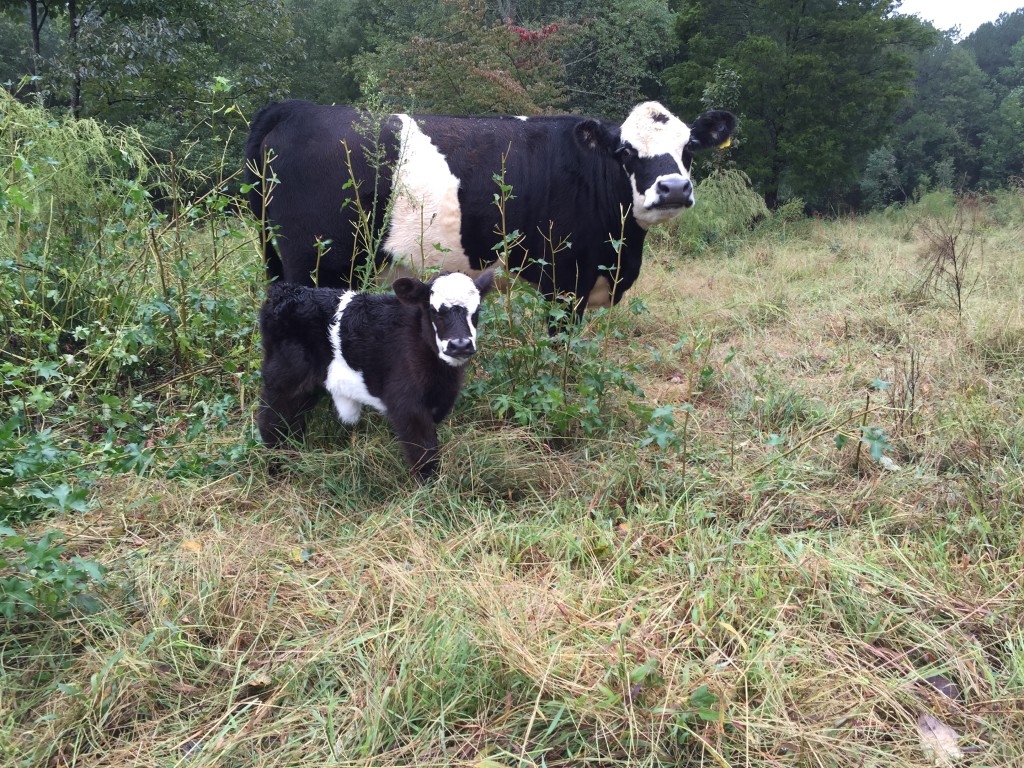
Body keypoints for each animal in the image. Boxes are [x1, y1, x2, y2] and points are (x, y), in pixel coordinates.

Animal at [243, 99, 733, 315]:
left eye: (689, 147)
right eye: (626, 152)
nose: (673, 188)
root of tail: (295, 108)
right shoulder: (565, 281)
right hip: (314, 263)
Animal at [258, 268, 493, 479]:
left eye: (477, 311)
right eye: (435, 311)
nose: (460, 345)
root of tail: (286, 292)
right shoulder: (407, 405)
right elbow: (424, 452)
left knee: (293, 423)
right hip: (284, 381)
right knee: (272, 423)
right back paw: (278, 469)